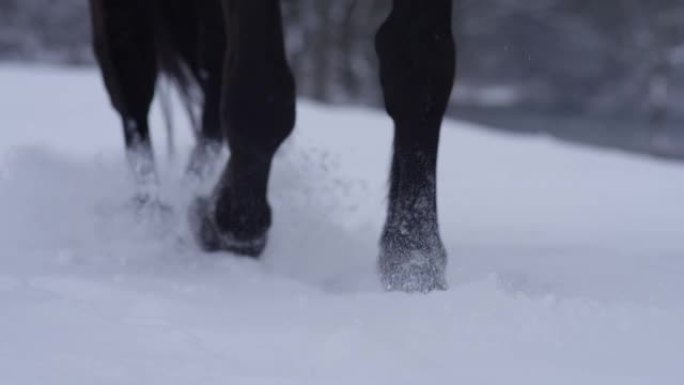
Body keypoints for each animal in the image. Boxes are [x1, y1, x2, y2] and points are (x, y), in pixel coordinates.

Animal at [89, 0, 454, 292]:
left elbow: (420, 65)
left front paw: (413, 261)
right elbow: (262, 89)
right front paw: (232, 225)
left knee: (210, 72)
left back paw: (194, 187)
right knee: (131, 73)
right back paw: (151, 215)